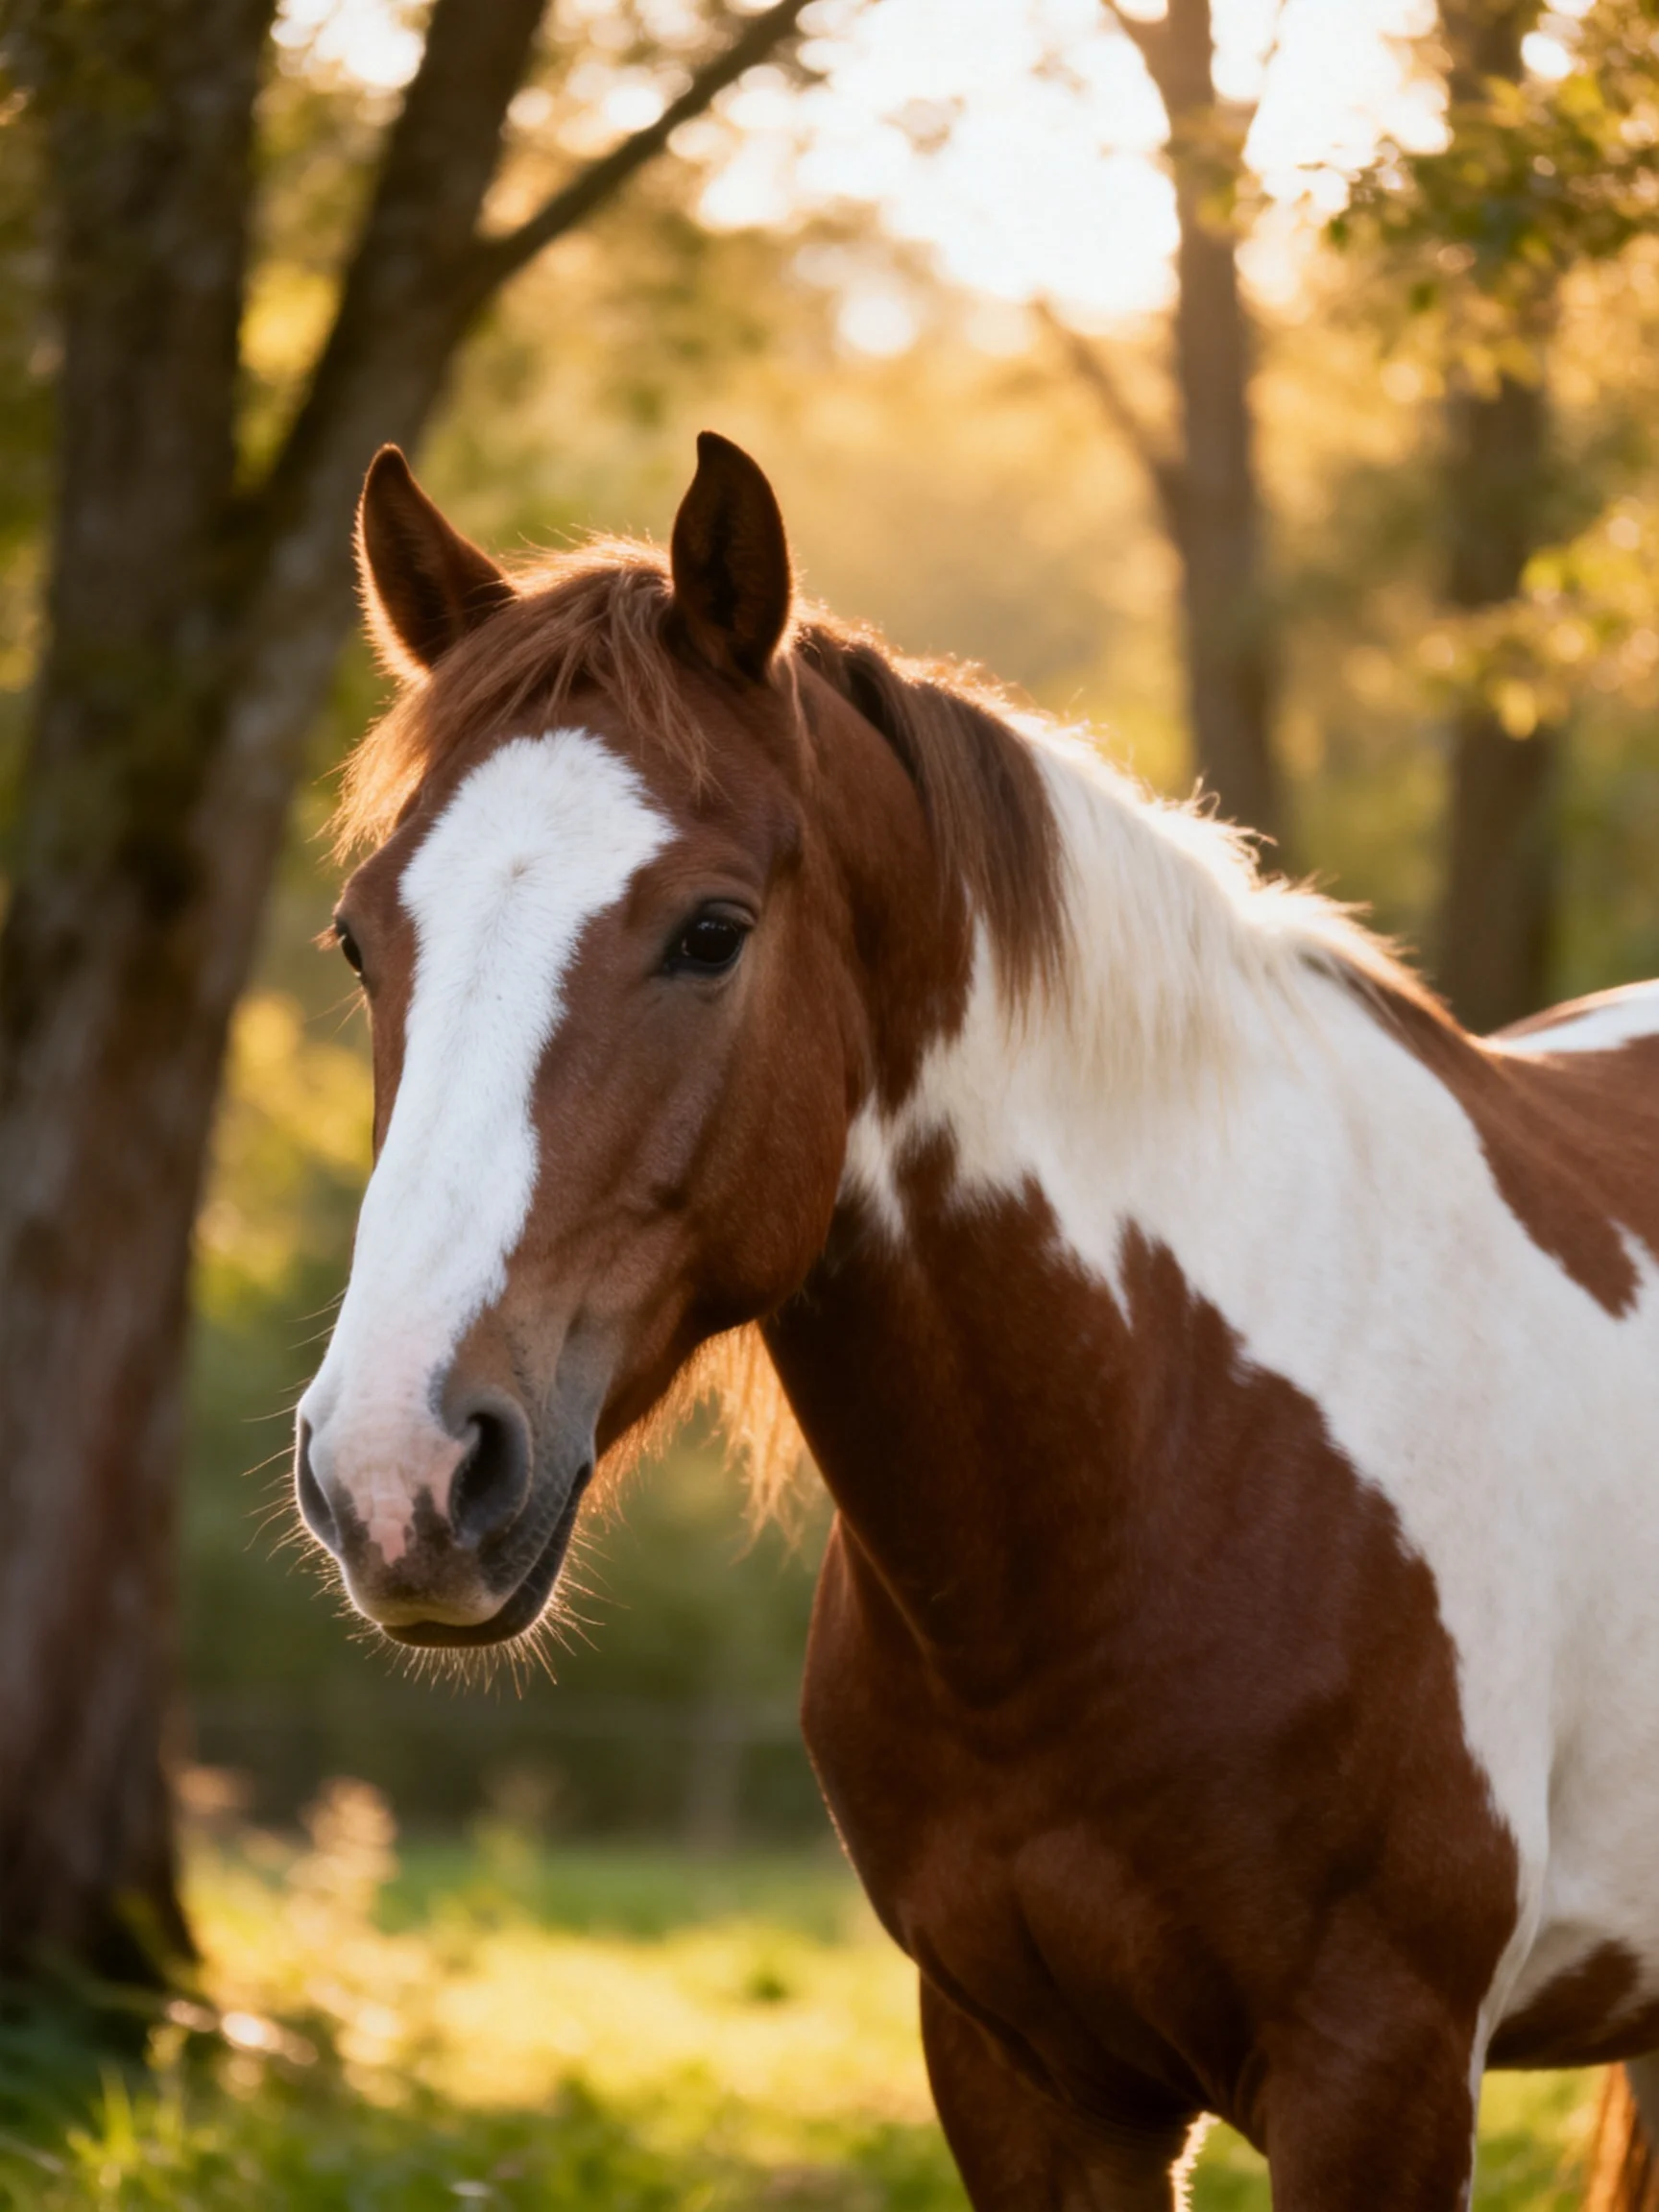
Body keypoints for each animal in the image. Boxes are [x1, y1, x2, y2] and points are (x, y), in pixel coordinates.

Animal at [294, 429, 1659, 2211]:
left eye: (711, 931)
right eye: (359, 937)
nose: (397, 1472)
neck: (1164, 1457)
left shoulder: (1381, 2074)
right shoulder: (1020, 2075)